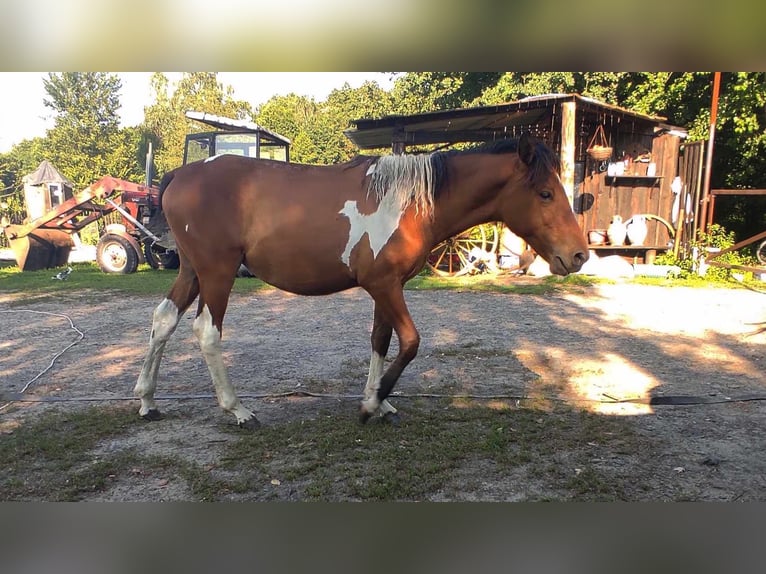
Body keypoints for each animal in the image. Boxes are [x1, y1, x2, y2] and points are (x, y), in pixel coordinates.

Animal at [135, 134, 588, 428]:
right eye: (545, 193)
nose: (579, 255)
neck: (409, 201)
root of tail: (182, 175)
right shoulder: (383, 285)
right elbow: (411, 342)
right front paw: (373, 402)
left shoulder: (387, 287)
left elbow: (381, 341)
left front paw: (377, 401)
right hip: (218, 272)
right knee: (207, 331)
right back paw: (238, 410)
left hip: (193, 271)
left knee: (163, 320)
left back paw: (148, 400)